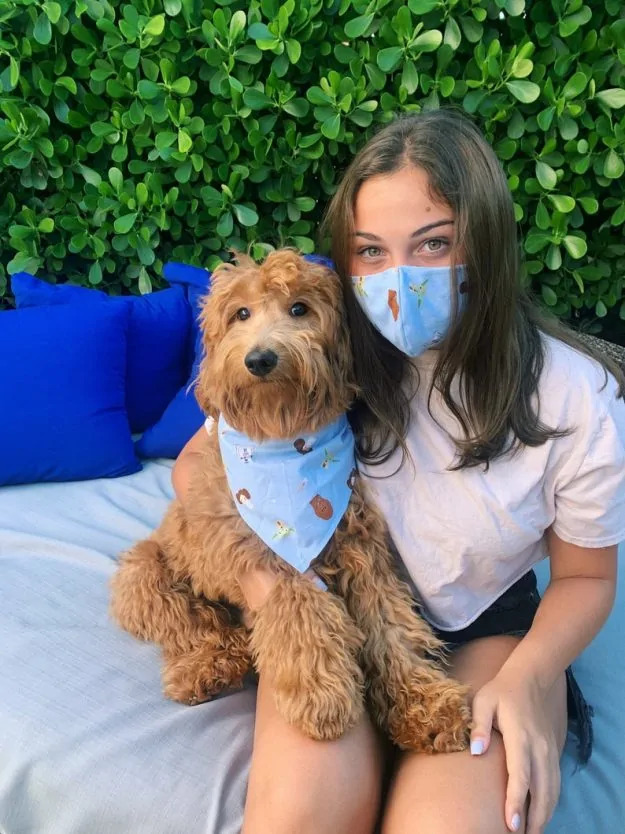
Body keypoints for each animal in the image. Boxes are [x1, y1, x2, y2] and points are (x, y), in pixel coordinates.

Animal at [108, 247, 468, 748]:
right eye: (241, 313)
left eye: (300, 308)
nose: (260, 359)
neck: (284, 440)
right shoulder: (274, 559)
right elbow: (303, 615)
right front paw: (321, 696)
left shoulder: (362, 553)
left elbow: (391, 625)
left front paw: (425, 704)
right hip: (145, 573)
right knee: (193, 623)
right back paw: (208, 667)